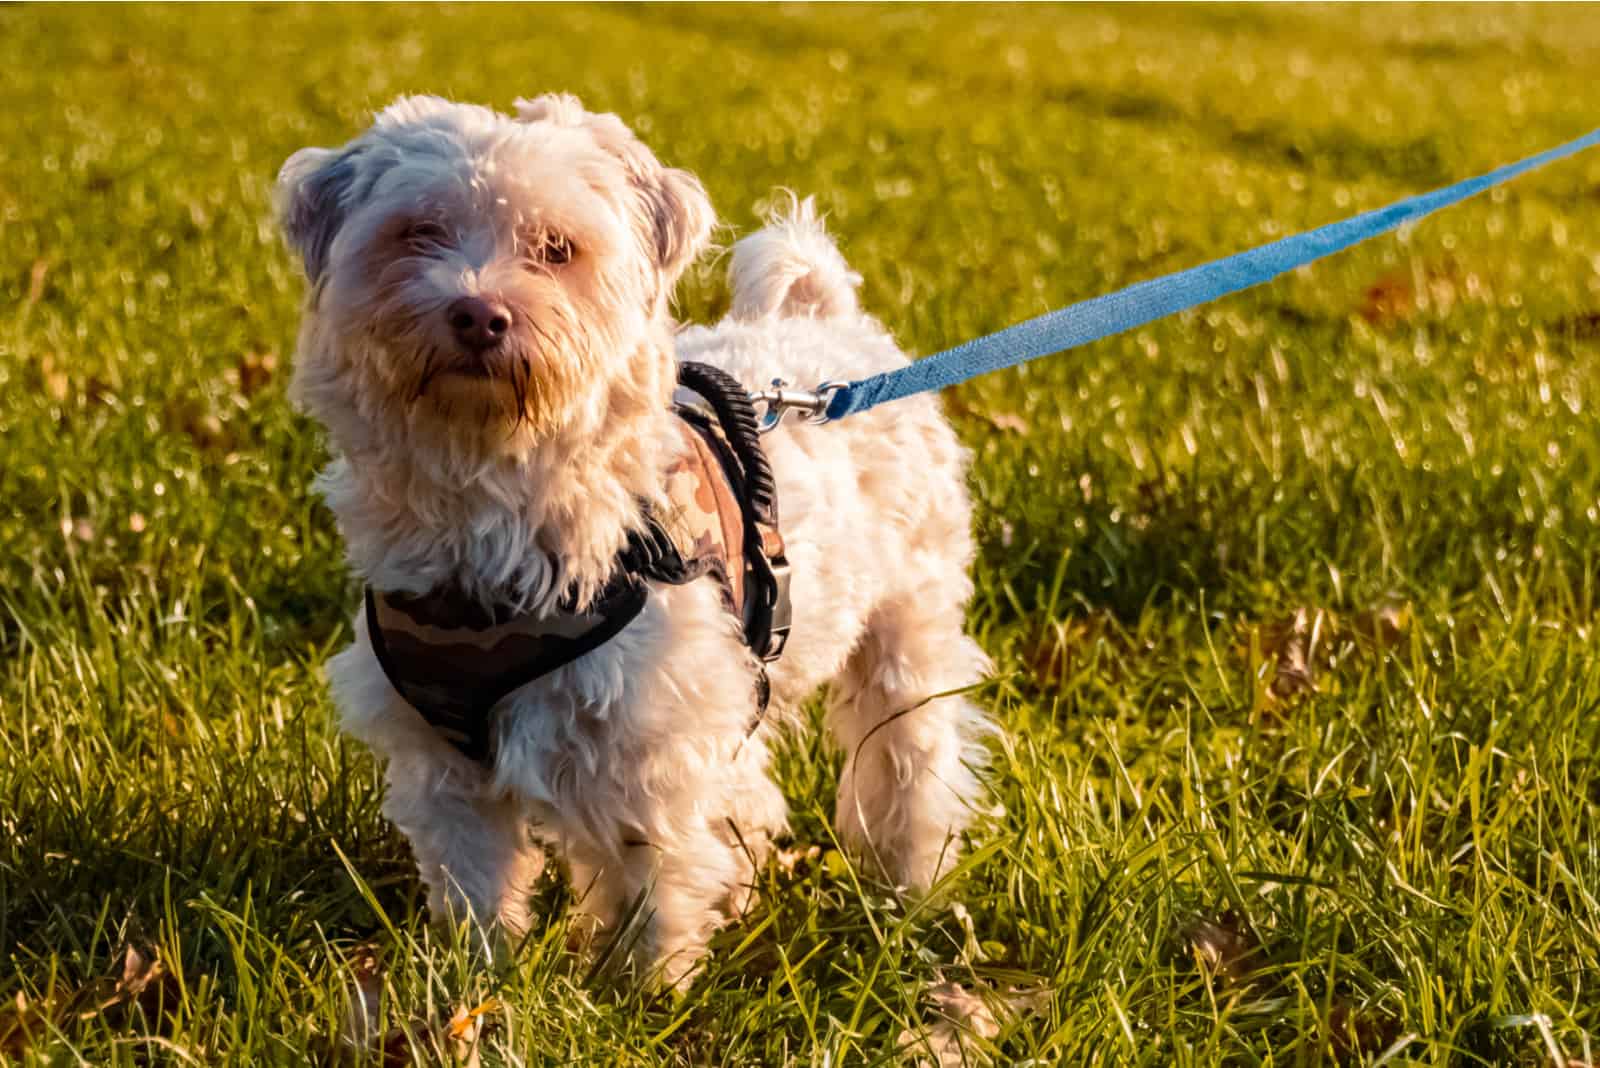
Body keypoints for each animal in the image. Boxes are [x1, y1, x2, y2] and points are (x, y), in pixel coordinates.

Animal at [281, 93, 992, 984]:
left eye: (556, 248)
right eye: (417, 232)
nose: (477, 312)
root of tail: (824, 326)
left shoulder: (647, 740)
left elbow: (648, 882)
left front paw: (642, 991)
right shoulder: (441, 761)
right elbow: (474, 885)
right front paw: (474, 982)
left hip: (906, 635)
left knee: (912, 761)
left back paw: (910, 889)